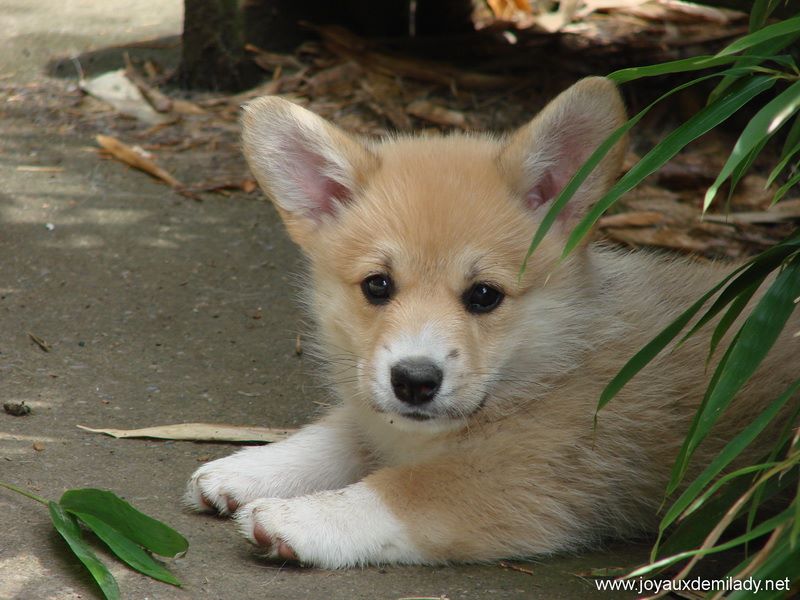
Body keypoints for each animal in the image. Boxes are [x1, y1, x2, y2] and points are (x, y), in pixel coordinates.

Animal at [186, 78, 792, 568]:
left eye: (484, 295)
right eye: (377, 286)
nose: (414, 381)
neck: (550, 362)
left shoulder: (517, 482)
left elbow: (397, 490)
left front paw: (296, 519)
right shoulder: (381, 417)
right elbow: (339, 433)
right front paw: (243, 472)